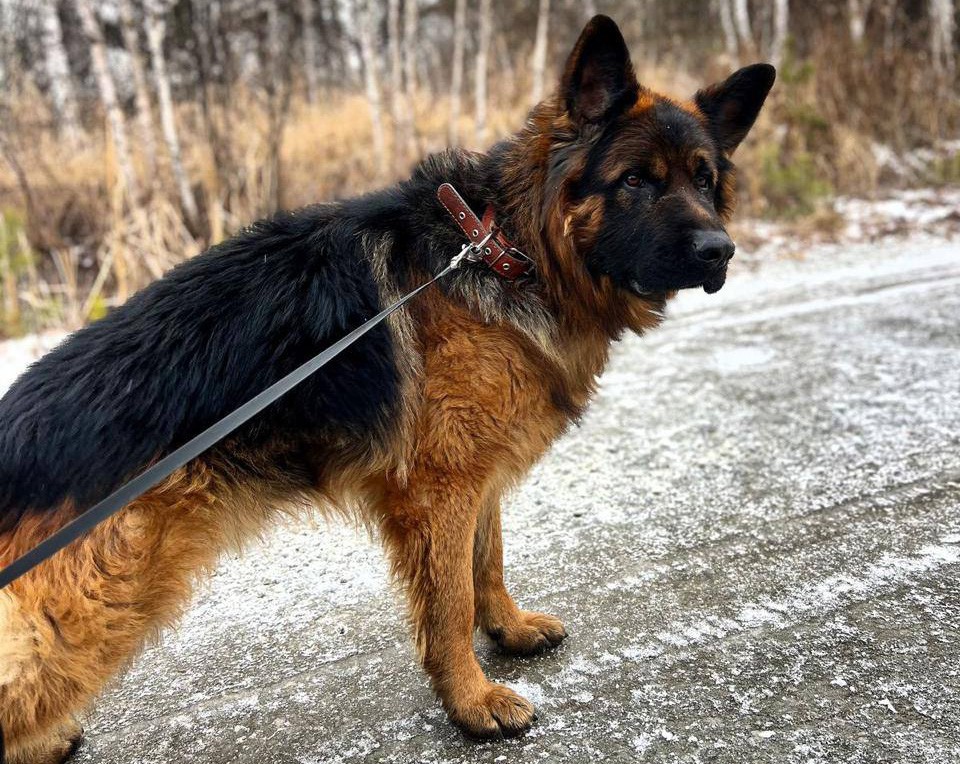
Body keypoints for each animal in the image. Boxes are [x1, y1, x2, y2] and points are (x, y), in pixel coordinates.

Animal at [0, 15, 774, 761]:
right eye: (636, 180)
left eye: (705, 181)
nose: (720, 251)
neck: (507, 252)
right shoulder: (441, 489)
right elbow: (451, 601)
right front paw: (470, 701)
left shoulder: (475, 478)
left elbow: (487, 563)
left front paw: (508, 629)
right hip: (85, 618)